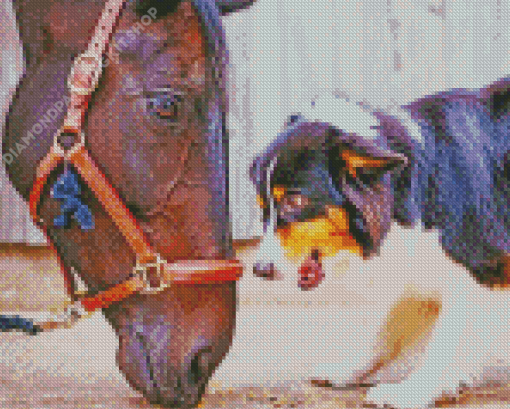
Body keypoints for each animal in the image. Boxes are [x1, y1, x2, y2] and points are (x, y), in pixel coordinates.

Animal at [247, 78, 510, 406]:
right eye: (263, 206)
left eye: (295, 201)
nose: (260, 269)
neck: (408, 186)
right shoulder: (417, 268)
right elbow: (384, 330)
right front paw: (347, 370)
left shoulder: (479, 271)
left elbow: (443, 343)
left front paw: (412, 390)